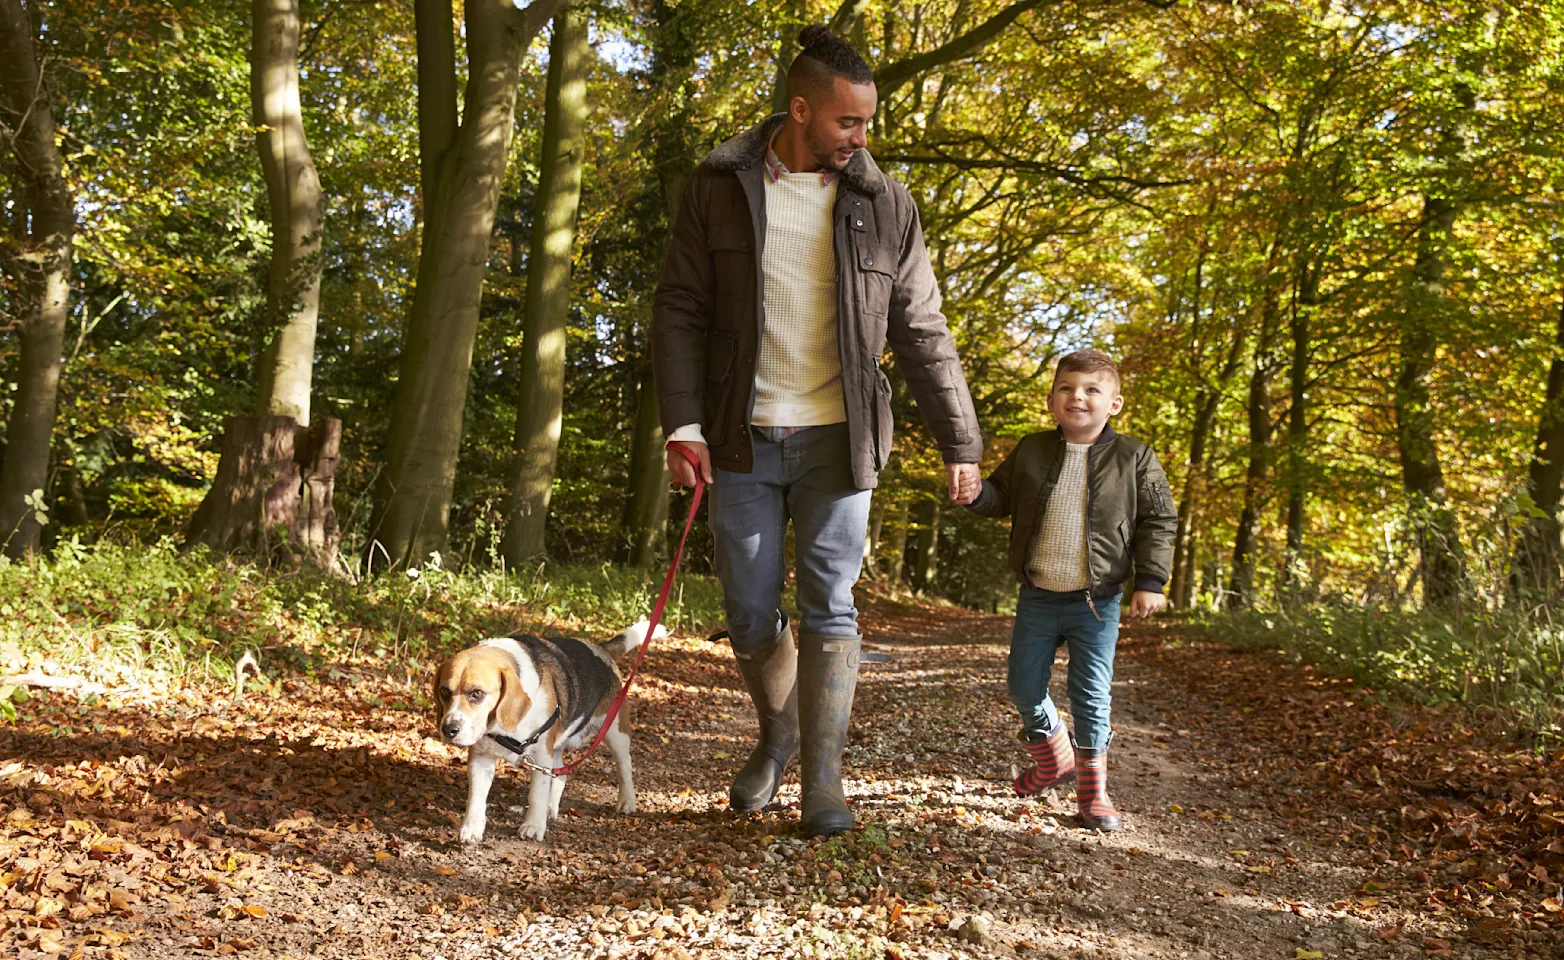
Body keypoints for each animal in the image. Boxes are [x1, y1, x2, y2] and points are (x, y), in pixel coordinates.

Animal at [431, 625, 663, 844]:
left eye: (477, 693)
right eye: (444, 692)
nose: (448, 729)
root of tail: (600, 649)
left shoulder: (542, 754)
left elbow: (536, 794)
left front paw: (533, 826)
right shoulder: (481, 758)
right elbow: (476, 798)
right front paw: (471, 829)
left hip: (615, 732)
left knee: (625, 766)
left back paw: (627, 801)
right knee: (560, 773)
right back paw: (551, 808)